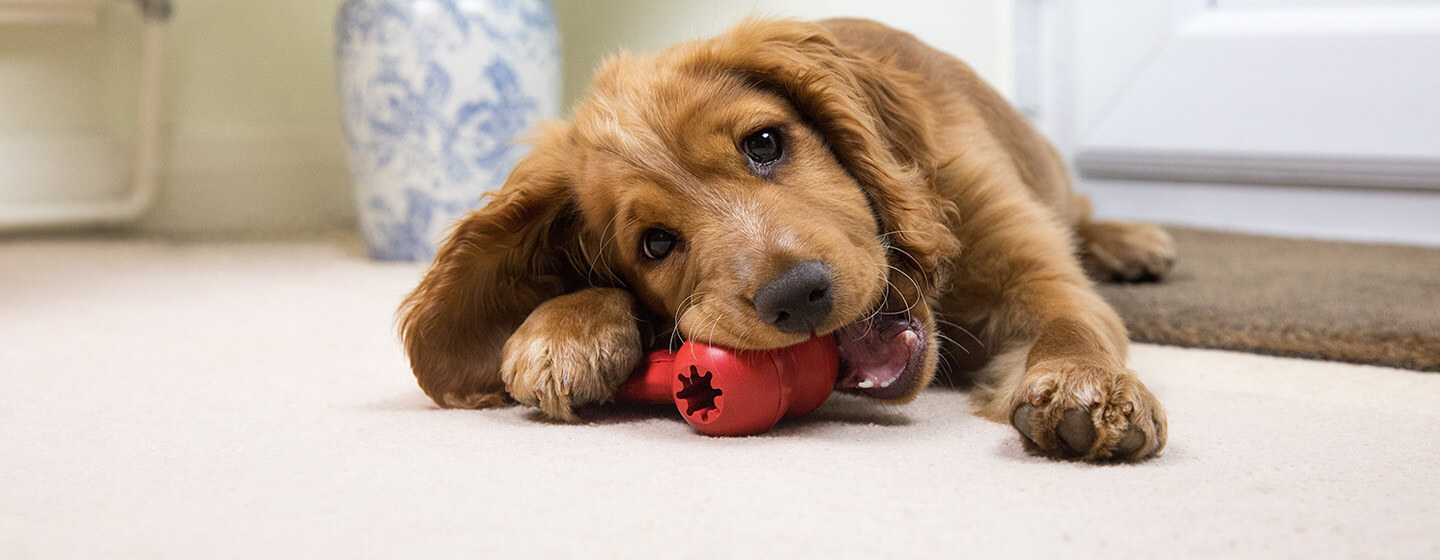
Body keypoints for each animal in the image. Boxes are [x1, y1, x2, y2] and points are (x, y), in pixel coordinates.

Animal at [394, 19, 1169, 460]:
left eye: (765, 142)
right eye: (654, 244)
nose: (797, 297)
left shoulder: (1031, 265)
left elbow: (1072, 321)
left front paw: (1091, 388)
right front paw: (563, 329)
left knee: (1083, 211)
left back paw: (1131, 240)